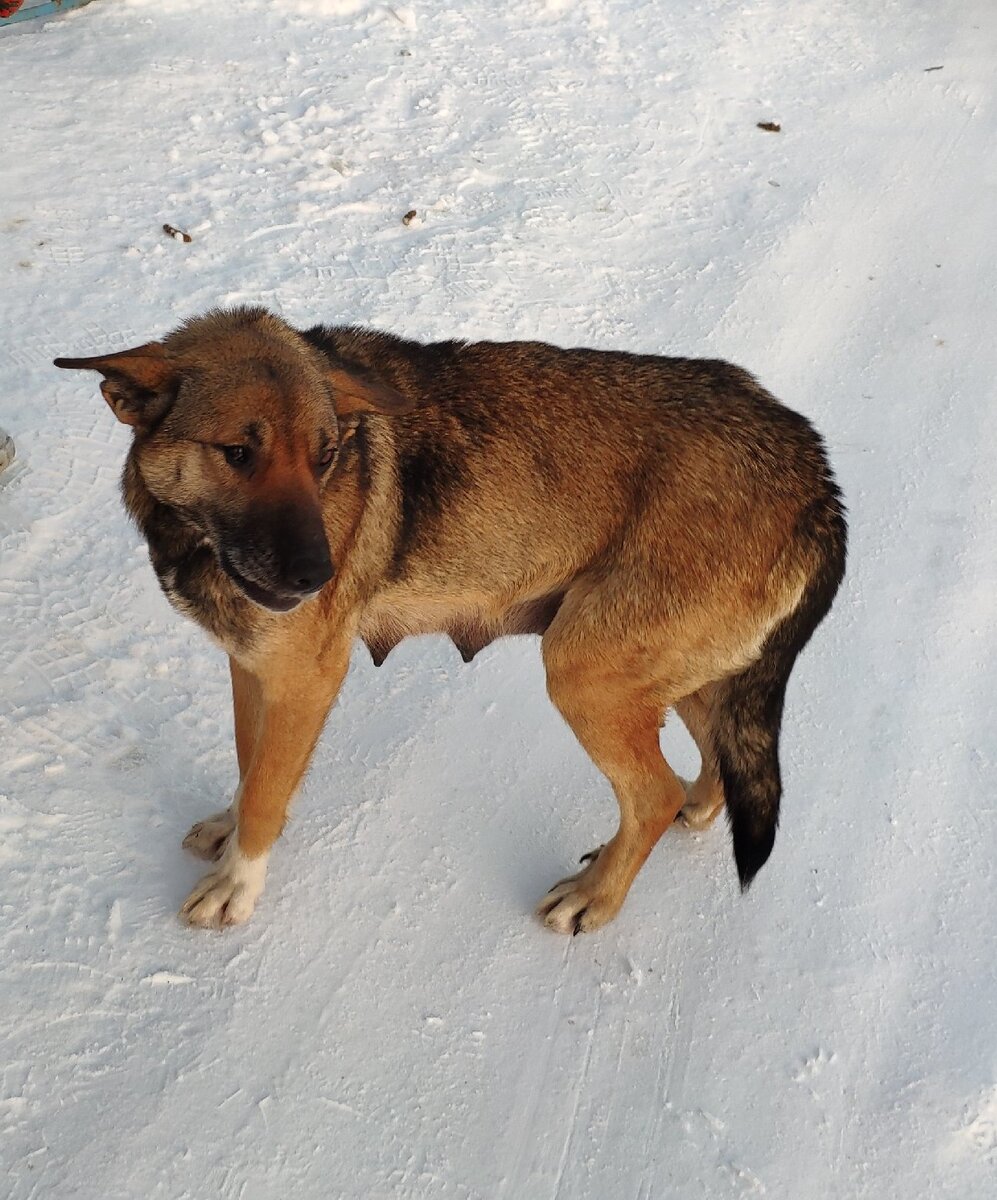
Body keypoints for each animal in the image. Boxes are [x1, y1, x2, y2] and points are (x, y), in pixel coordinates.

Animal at [56, 307, 849, 926]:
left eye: (327, 457)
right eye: (237, 453)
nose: (320, 576)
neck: (195, 537)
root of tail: (815, 473)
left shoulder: (304, 679)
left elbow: (265, 792)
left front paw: (236, 887)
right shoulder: (252, 669)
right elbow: (252, 768)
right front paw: (229, 832)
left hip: (584, 672)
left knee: (651, 794)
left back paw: (594, 898)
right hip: (667, 671)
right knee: (713, 759)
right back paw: (688, 813)